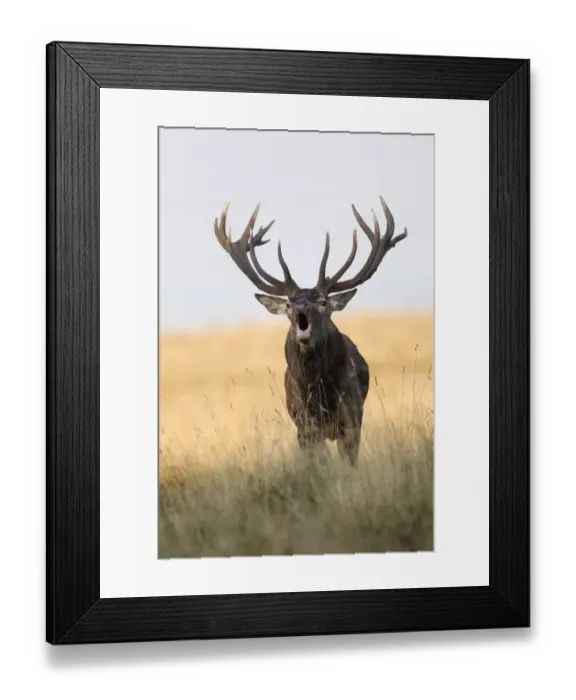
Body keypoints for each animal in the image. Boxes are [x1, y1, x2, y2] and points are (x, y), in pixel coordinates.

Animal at [213, 196, 408, 467]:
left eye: (323, 302)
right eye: (288, 304)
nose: (301, 306)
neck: (318, 393)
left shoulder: (351, 417)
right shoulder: (304, 424)